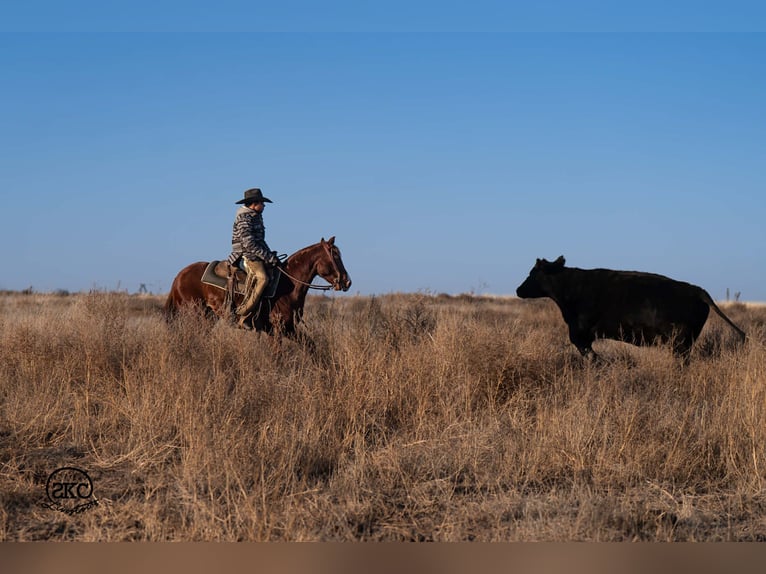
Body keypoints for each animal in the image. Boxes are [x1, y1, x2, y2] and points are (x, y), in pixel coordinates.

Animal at [164, 237, 351, 337]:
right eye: (335, 255)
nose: (347, 282)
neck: (287, 285)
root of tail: (179, 276)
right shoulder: (278, 330)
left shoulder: (288, 329)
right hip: (194, 315)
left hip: (208, 317)